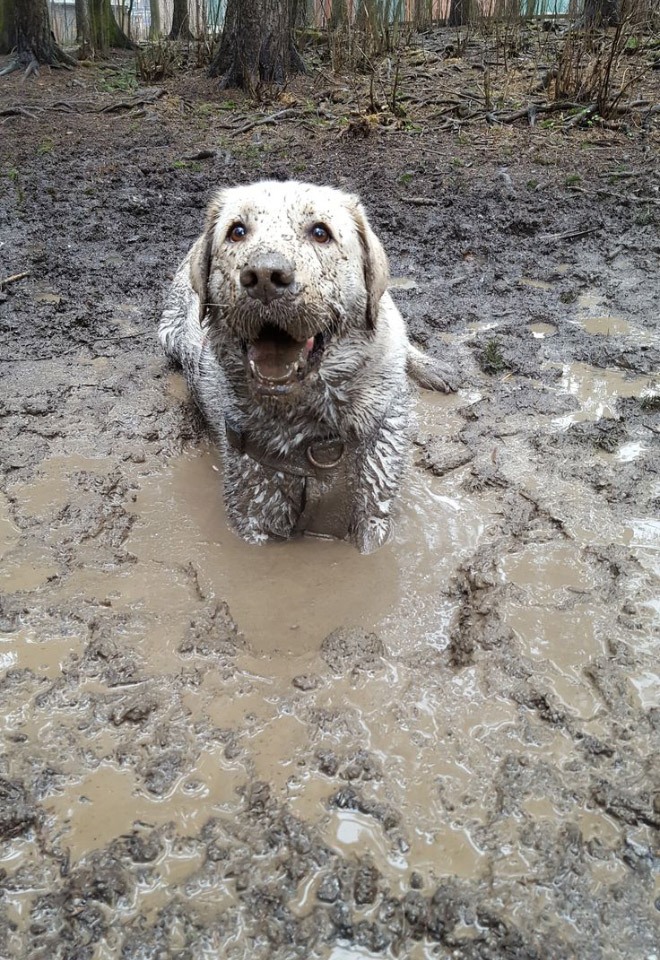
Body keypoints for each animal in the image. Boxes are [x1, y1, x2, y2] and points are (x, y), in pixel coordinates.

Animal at [160, 182, 454, 556]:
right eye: (237, 231)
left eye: (320, 232)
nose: (265, 276)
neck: (316, 435)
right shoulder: (253, 512)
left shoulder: (374, 506)